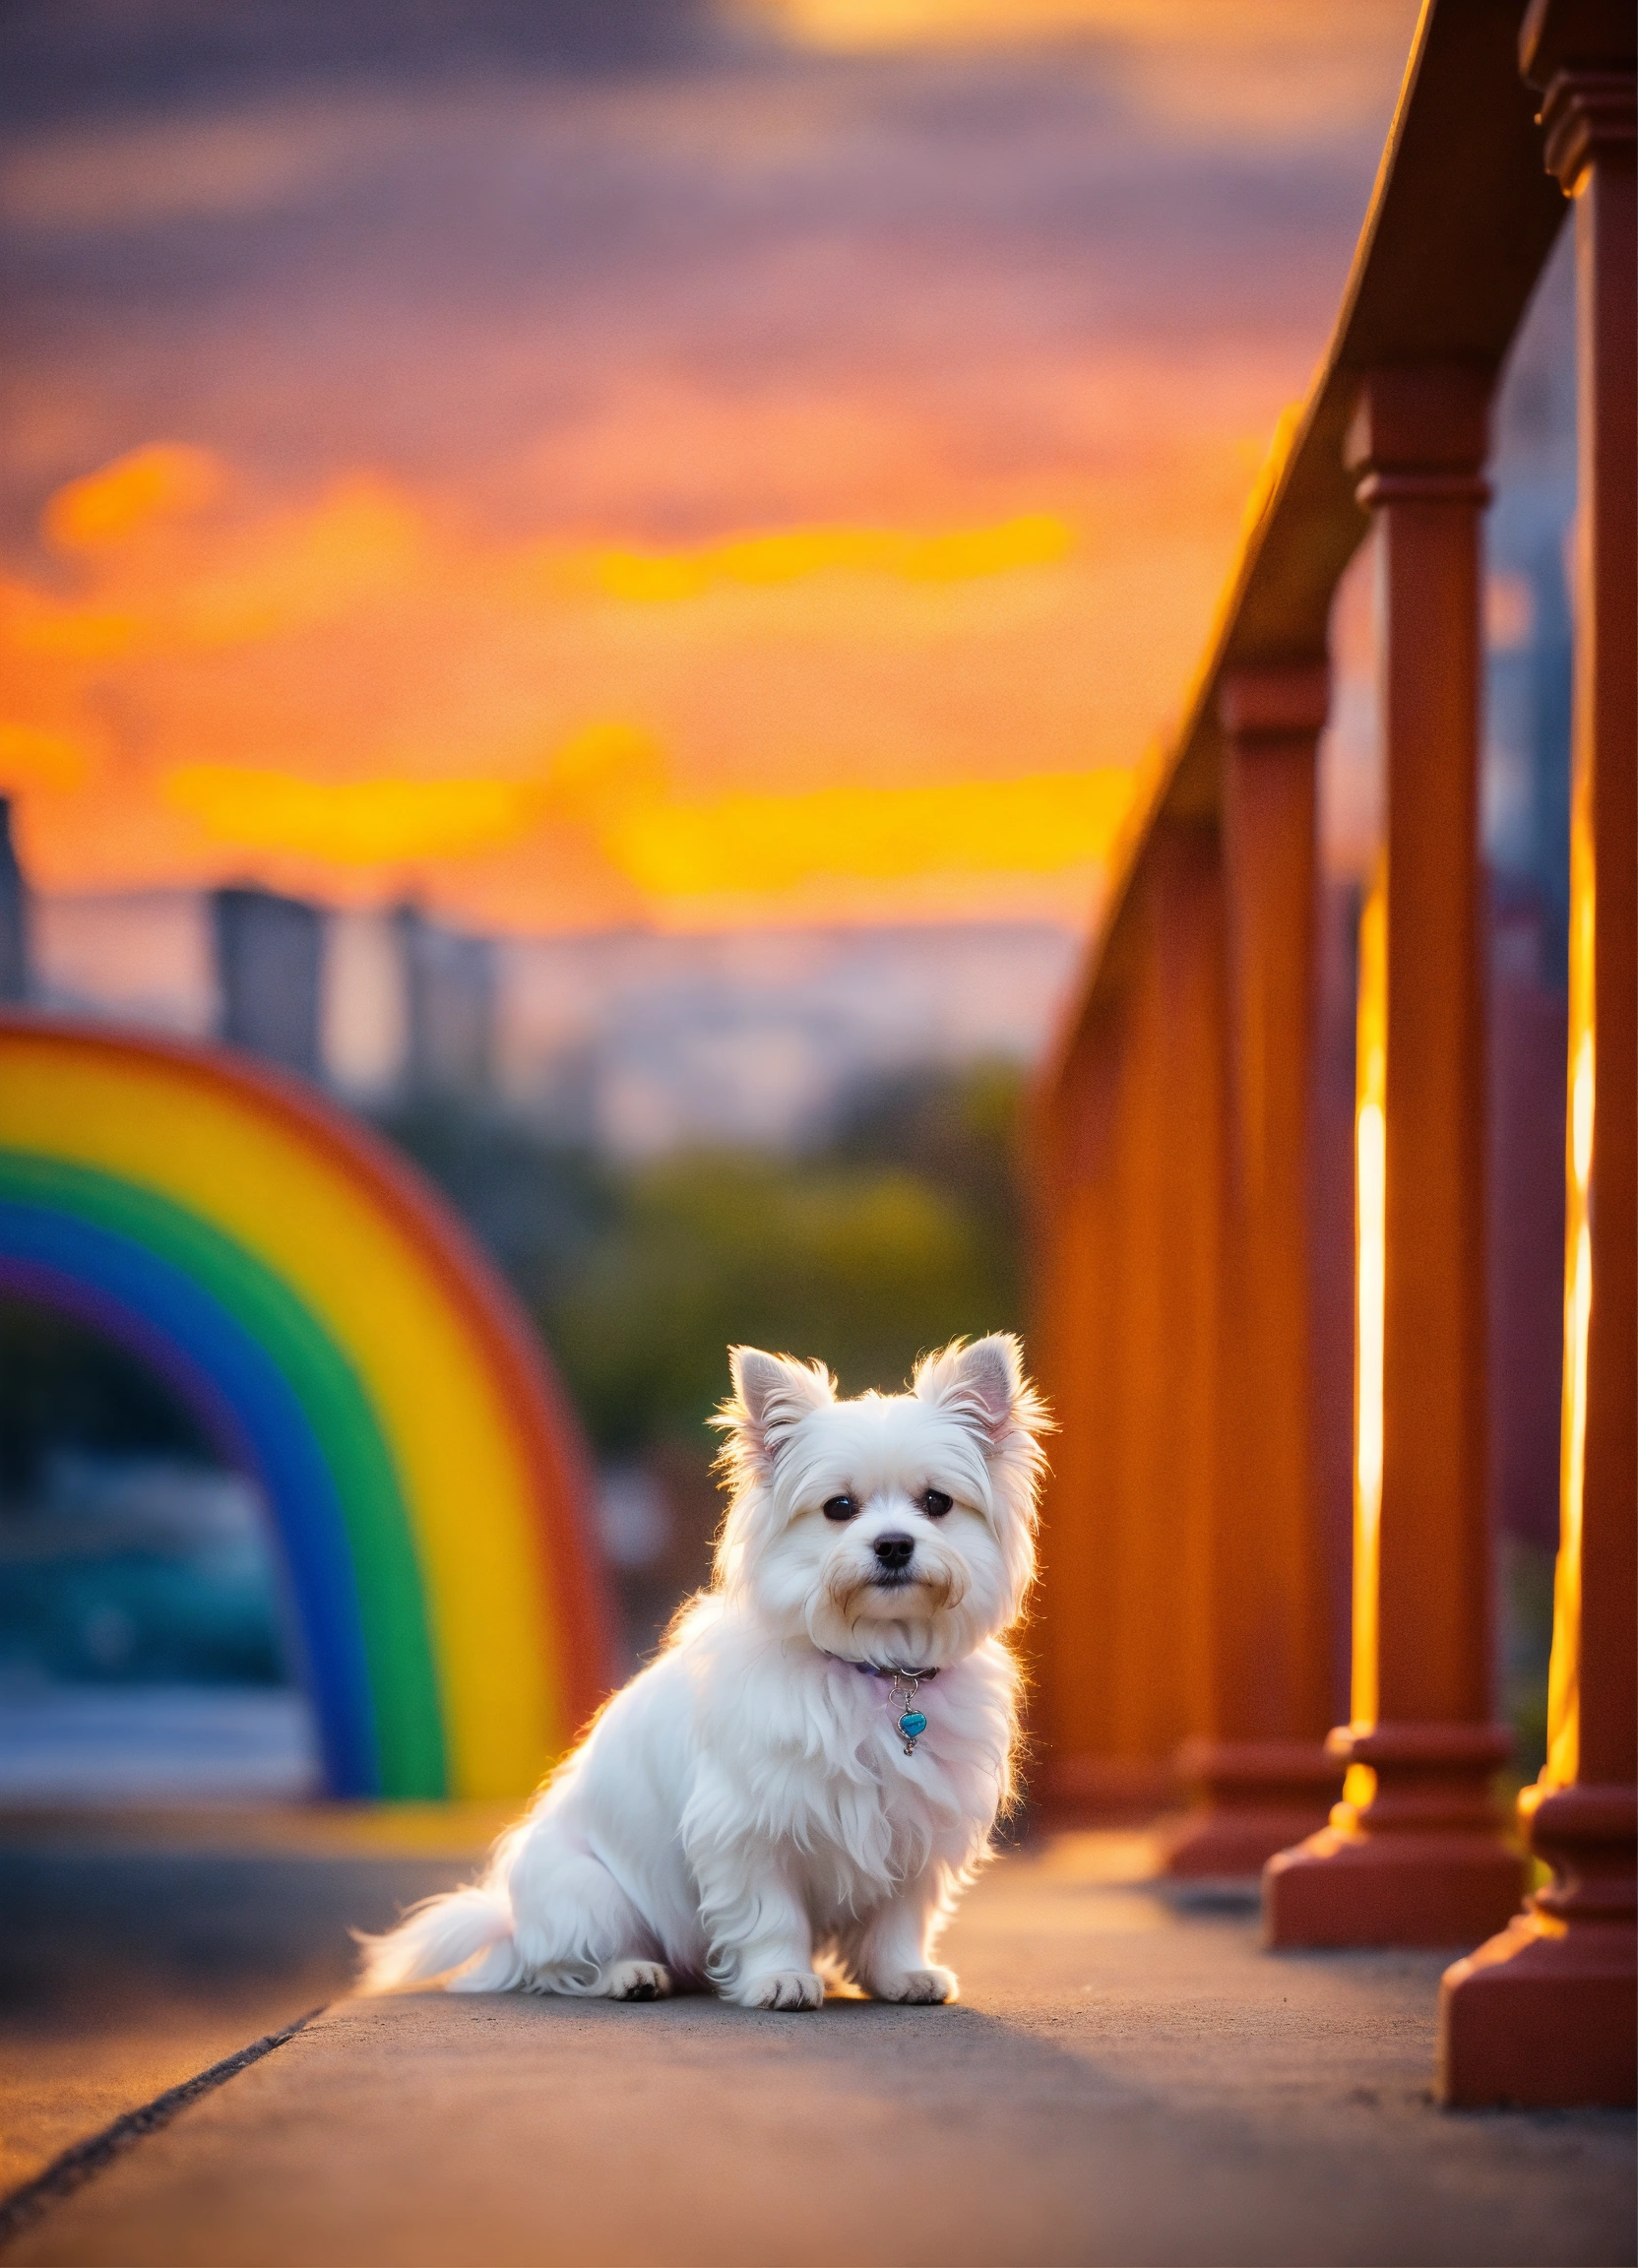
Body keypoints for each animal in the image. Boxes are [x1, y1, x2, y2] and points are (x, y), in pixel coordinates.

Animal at [358, 1333, 1047, 2013]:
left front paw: (902, 1975)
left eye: (936, 1503)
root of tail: (508, 1924)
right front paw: (780, 1978)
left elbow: (898, 1921)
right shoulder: (748, 1829)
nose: (894, 1545)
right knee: (565, 1966)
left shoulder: (917, 1829)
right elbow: (773, 1917)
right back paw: (632, 1975)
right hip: (589, 1896)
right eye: (839, 1508)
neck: (877, 1665)